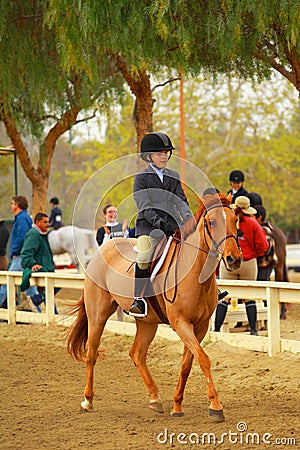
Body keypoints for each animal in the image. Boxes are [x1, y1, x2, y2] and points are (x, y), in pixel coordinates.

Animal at [65, 193, 241, 422]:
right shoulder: (181, 323)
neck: (194, 274)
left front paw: (177, 405)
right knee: (91, 354)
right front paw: (215, 406)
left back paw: (155, 399)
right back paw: (87, 401)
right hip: (98, 316)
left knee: (137, 354)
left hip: (147, 322)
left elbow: (187, 364)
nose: (234, 259)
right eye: (212, 222)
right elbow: (203, 359)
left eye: (235, 220)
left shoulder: (200, 326)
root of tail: (102, 250)